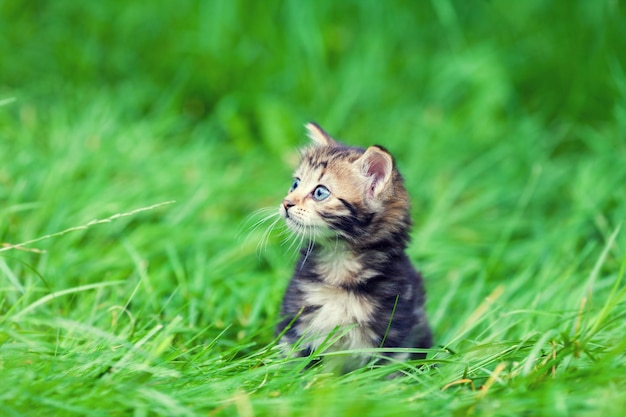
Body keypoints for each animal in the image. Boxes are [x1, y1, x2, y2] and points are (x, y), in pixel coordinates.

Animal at [276, 122, 432, 368]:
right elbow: (289, 363)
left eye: (320, 192)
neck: (339, 265)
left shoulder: (394, 334)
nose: (286, 203)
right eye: (295, 184)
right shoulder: (294, 323)